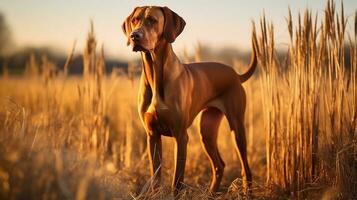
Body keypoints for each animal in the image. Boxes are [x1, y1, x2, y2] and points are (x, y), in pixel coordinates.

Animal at [121, 5, 256, 195]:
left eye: (152, 20)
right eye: (135, 20)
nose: (134, 36)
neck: (155, 74)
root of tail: (236, 74)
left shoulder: (180, 135)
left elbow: (177, 179)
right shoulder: (152, 135)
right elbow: (155, 176)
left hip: (237, 128)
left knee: (246, 168)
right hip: (207, 130)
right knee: (219, 165)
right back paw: (210, 194)